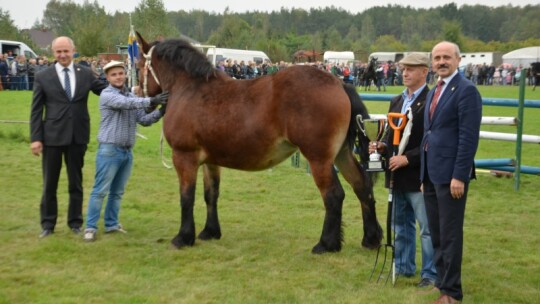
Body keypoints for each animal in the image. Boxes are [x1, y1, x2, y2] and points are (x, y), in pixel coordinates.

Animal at [138, 32, 384, 253]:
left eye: (139, 65)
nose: (139, 94)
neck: (191, 89)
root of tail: (339, 84)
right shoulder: (210, 161)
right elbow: (211, 194)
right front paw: (210, 231)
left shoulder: (184, 157)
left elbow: (186, 197)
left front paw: (183, 237)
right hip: (342, 154)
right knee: (362, 186)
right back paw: (371, 238)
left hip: (319, 159)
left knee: (334, 195)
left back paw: (326, 244)